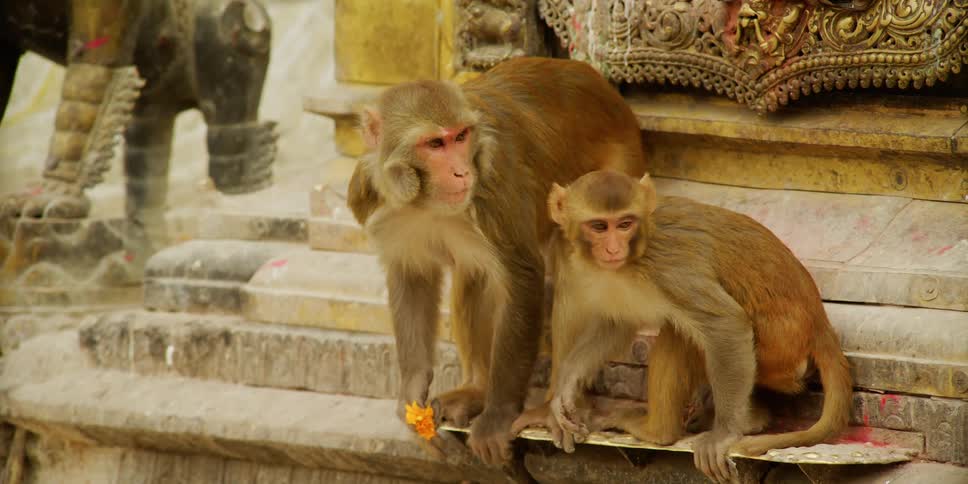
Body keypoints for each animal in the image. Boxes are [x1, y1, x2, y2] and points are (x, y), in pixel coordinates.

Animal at [346, 57, 647, 465]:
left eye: (460, 137)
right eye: (434, 143)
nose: (461, 171)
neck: (425, 200)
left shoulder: (494, 183)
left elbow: (523, 278)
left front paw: (498, 416)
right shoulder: (377, 201)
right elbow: (413, 277)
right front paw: (412, 391)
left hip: (619, 177)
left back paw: (550, 406)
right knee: (474, 273)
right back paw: (475, 390)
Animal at [511, 170, 852, 483]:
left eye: (624, 223)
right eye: (599, 226)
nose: (613, 249)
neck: (636, 251)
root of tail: (819, 323)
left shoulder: (668, 267)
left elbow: (725, 323)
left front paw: (724, 434)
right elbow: (618, 324)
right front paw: (565, 386)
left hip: (779, 350)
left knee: (681, 336)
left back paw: (661, 431)